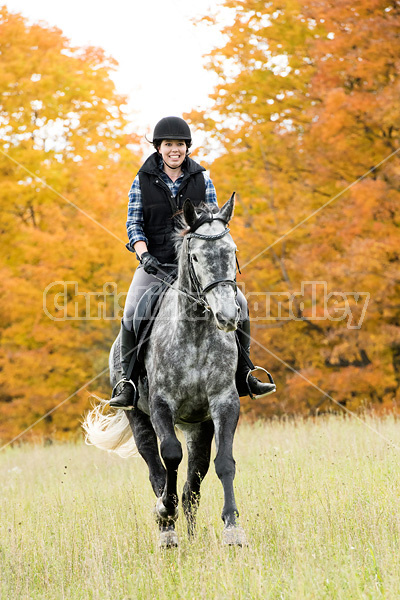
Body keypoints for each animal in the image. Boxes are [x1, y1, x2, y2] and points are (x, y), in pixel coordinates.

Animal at [83, 196, 247, 548]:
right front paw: (164, 513)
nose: (227, 316)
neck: (195, 333)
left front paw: (233, 529)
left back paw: (191, 536)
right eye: (195, 256)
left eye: (232, 251)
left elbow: (225, 463)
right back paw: (168, 530)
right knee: (156, 469)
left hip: (198, 426)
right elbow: (170, 456)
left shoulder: (224, 402)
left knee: (192, 486)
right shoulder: (161, 405)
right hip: (138, 417)